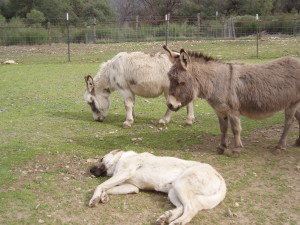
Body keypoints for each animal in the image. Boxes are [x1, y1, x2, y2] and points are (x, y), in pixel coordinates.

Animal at [88, 149, 226, 225]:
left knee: (191, 209)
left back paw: (177, 222)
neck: (122, 158)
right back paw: (167, 217)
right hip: (173, 191)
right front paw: (104, 196)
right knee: (182, 207)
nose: (90, 170)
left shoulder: (124, 173)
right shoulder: (131, 187)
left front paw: (94, 199)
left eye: (101, 159)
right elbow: (108, 187)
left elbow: (100, 186)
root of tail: (220, 177)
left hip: (181, 184)